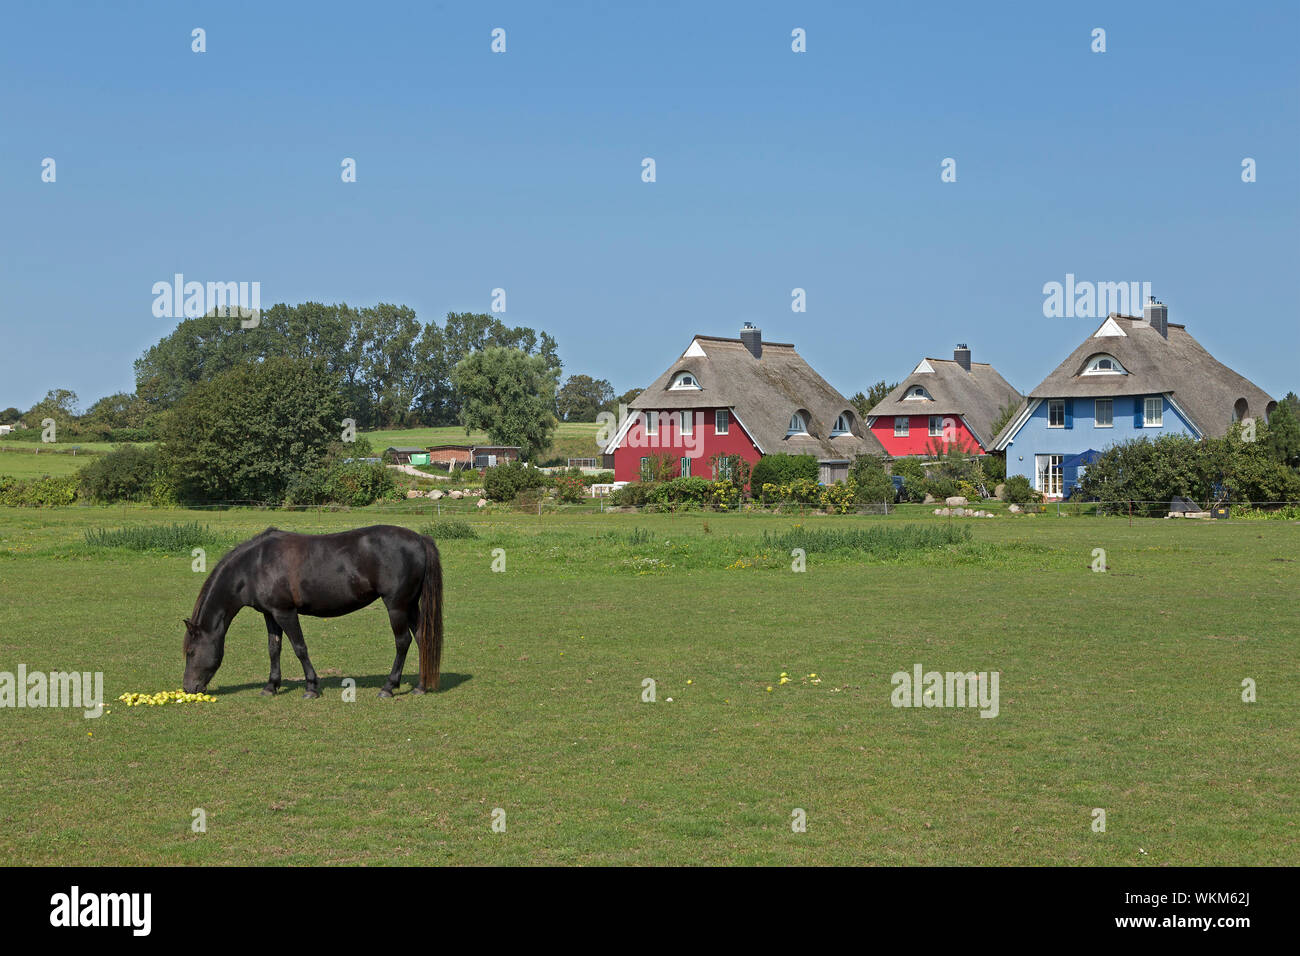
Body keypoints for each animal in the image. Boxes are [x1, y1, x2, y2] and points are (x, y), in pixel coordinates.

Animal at [180, 528, 447, 697]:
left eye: (191, 652)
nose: (188, 688)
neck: (254, 565)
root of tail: (419, 539)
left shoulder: (285, 613)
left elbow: (299, 648)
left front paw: (311, 687)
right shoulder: (270, 614)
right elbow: (274, 649)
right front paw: (271, 686)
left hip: (397, 606)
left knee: (403, 642)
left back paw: (388, 688)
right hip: (410, 605)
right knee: (423, 638)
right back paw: (421, 686)